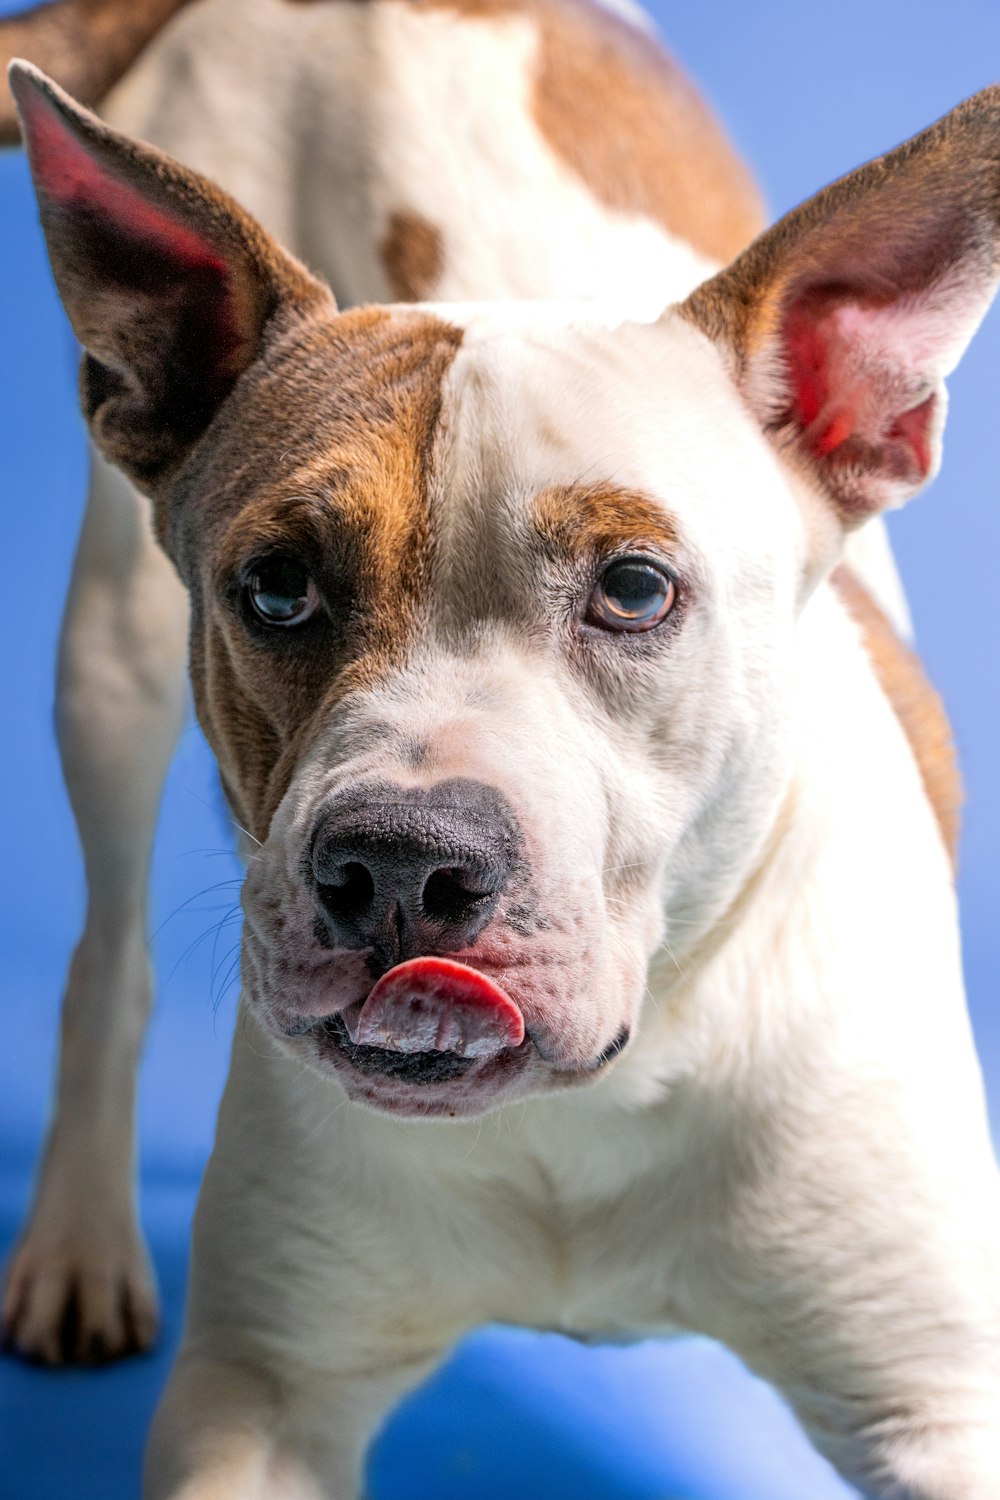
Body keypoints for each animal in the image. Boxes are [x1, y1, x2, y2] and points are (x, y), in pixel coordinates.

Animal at [5, 0, 1000, 1494]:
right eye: (276, 588)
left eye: (635, 590)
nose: (400, 867)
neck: (597, 1095)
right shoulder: (261, 1400)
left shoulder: (939, 1403)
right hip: (106, 661)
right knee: (107, 957)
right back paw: (76, 1239)